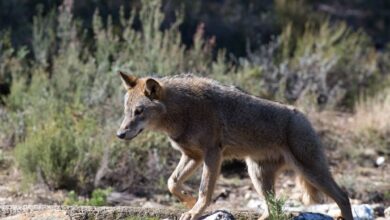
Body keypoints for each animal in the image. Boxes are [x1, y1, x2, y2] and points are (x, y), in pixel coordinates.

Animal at [116, 72, 354, 220]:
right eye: (127, 111)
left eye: (139, 111)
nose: (119, 134)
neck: (183, 111)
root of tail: (303, 116)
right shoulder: (193, 156)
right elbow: (171, 183)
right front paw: (189, 202)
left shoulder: (212, 155)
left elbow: (205, 191)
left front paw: (195, 211)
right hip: (258, 176)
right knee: (273, 206)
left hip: (311, 172)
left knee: (343, 197)